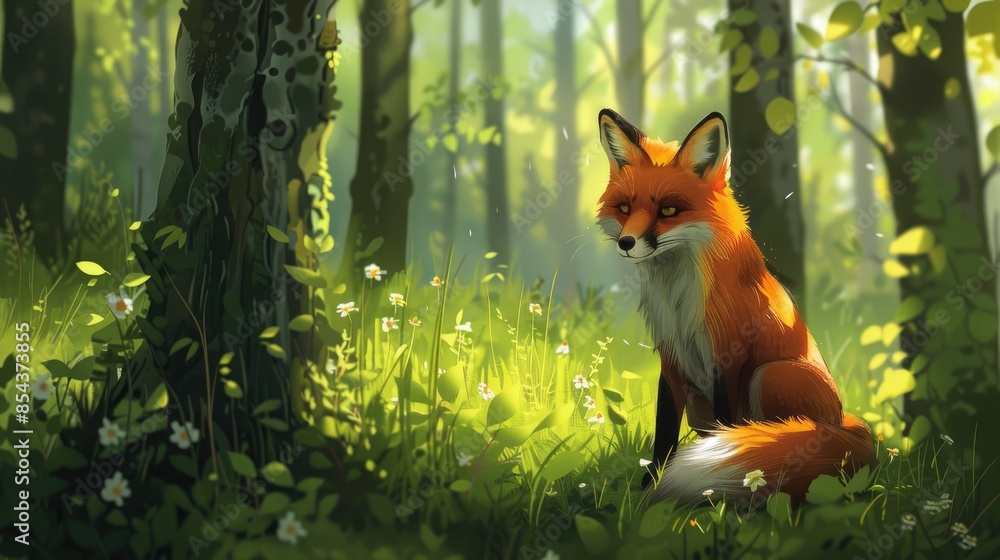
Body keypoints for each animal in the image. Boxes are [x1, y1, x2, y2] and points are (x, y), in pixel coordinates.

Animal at [595, 108, 875, 503]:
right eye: (624, 208)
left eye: (668, 210)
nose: (626, 242)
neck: (679, 299)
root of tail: (843, 424)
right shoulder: (672, 357)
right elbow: (664, 432)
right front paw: (650, 487)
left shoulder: (727, 354)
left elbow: (724, 424)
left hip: (772, 374)